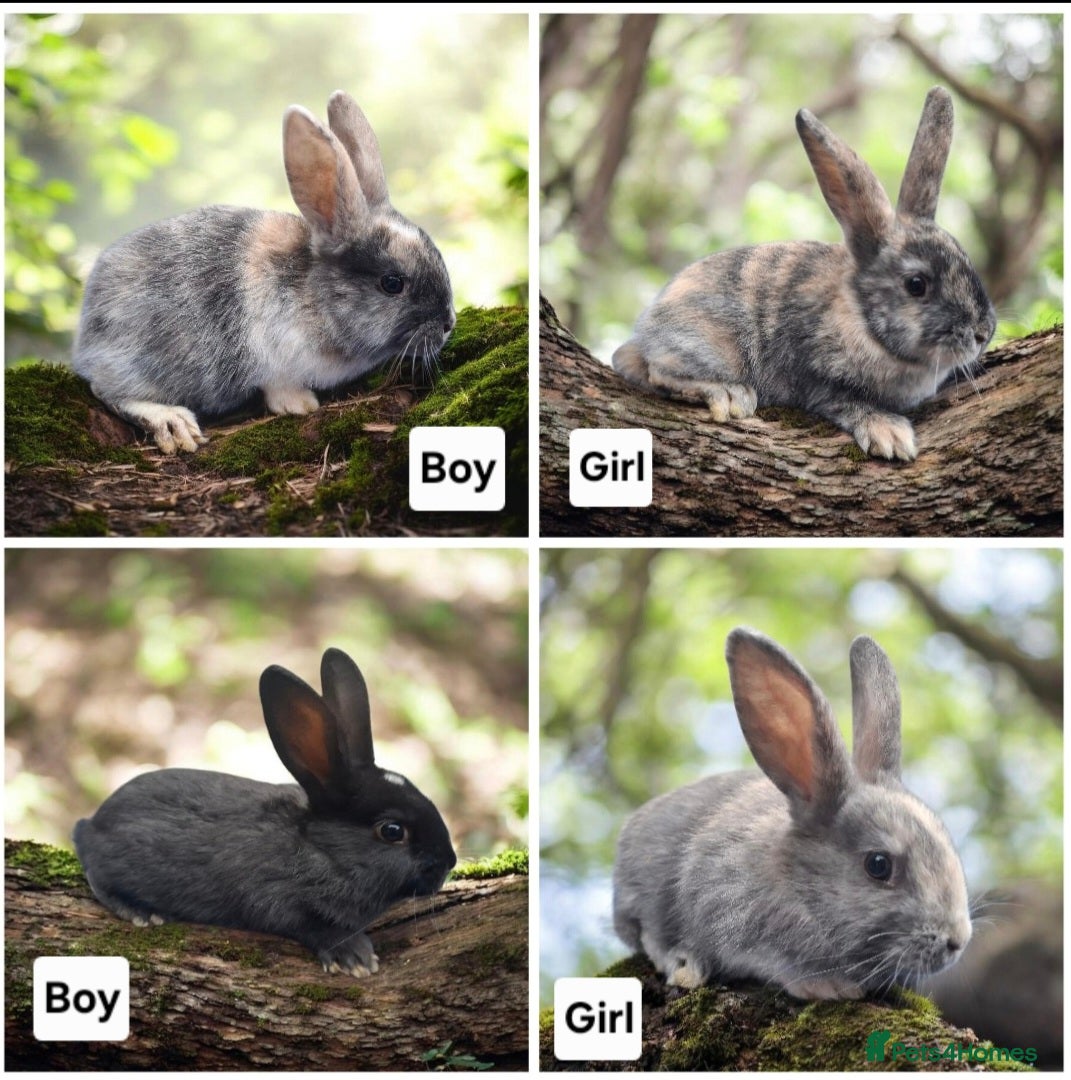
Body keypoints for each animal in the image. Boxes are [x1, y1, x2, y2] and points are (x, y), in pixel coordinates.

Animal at [73, 91, 456, 454]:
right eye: (392, 283)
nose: (448, 323)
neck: (316, 298)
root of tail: (85, 334)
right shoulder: (276, 360)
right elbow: (279, 387)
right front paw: (301, 405)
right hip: (132, 360)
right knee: (108, 390)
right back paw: (172, 422)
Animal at [73, 647, 457, 976]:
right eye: (392, 831)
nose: (449, 862)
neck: (322, 852)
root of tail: (92, 823)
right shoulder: (278, 901)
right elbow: (310, 926)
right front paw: (355, 958)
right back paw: (142, 912)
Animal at [612, 88, 996, 462]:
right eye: (917, 284)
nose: (983, 333)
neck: (860, 317)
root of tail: (645, 331)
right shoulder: (817, 379)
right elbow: (847, 403)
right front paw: (890, 436)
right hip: (706, 344)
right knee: (657, 369)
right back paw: (729, 394)